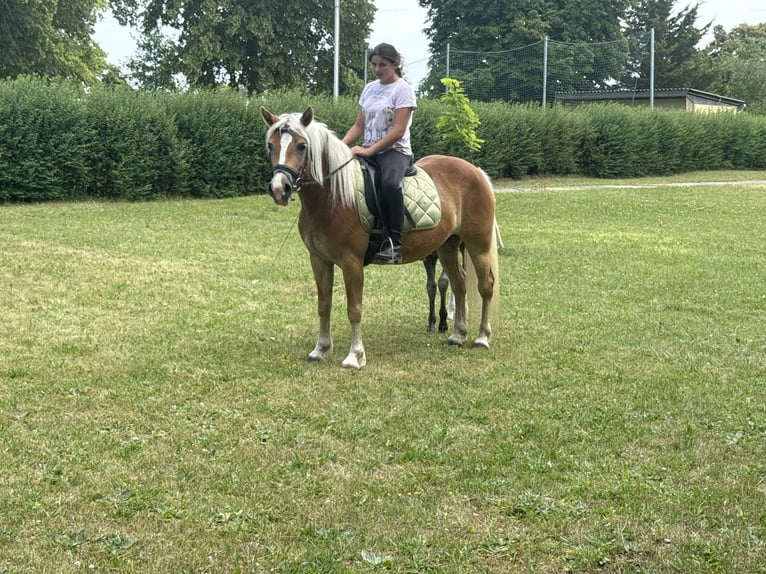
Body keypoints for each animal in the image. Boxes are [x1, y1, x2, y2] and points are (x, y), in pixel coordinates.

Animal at [260, 106, 500, 369]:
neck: (332, 198)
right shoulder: (319, 260)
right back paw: (458, 335)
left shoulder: (352, 262)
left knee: (485, 286)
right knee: (459, 285)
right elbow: (324, 305)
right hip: (448, 246)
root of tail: (476, 171)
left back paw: (481, 337)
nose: (279, 188)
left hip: (478, 245)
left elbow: (354, 309)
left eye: (302, 146)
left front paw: (355, 356)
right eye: (271, 145)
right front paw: (320, 350)